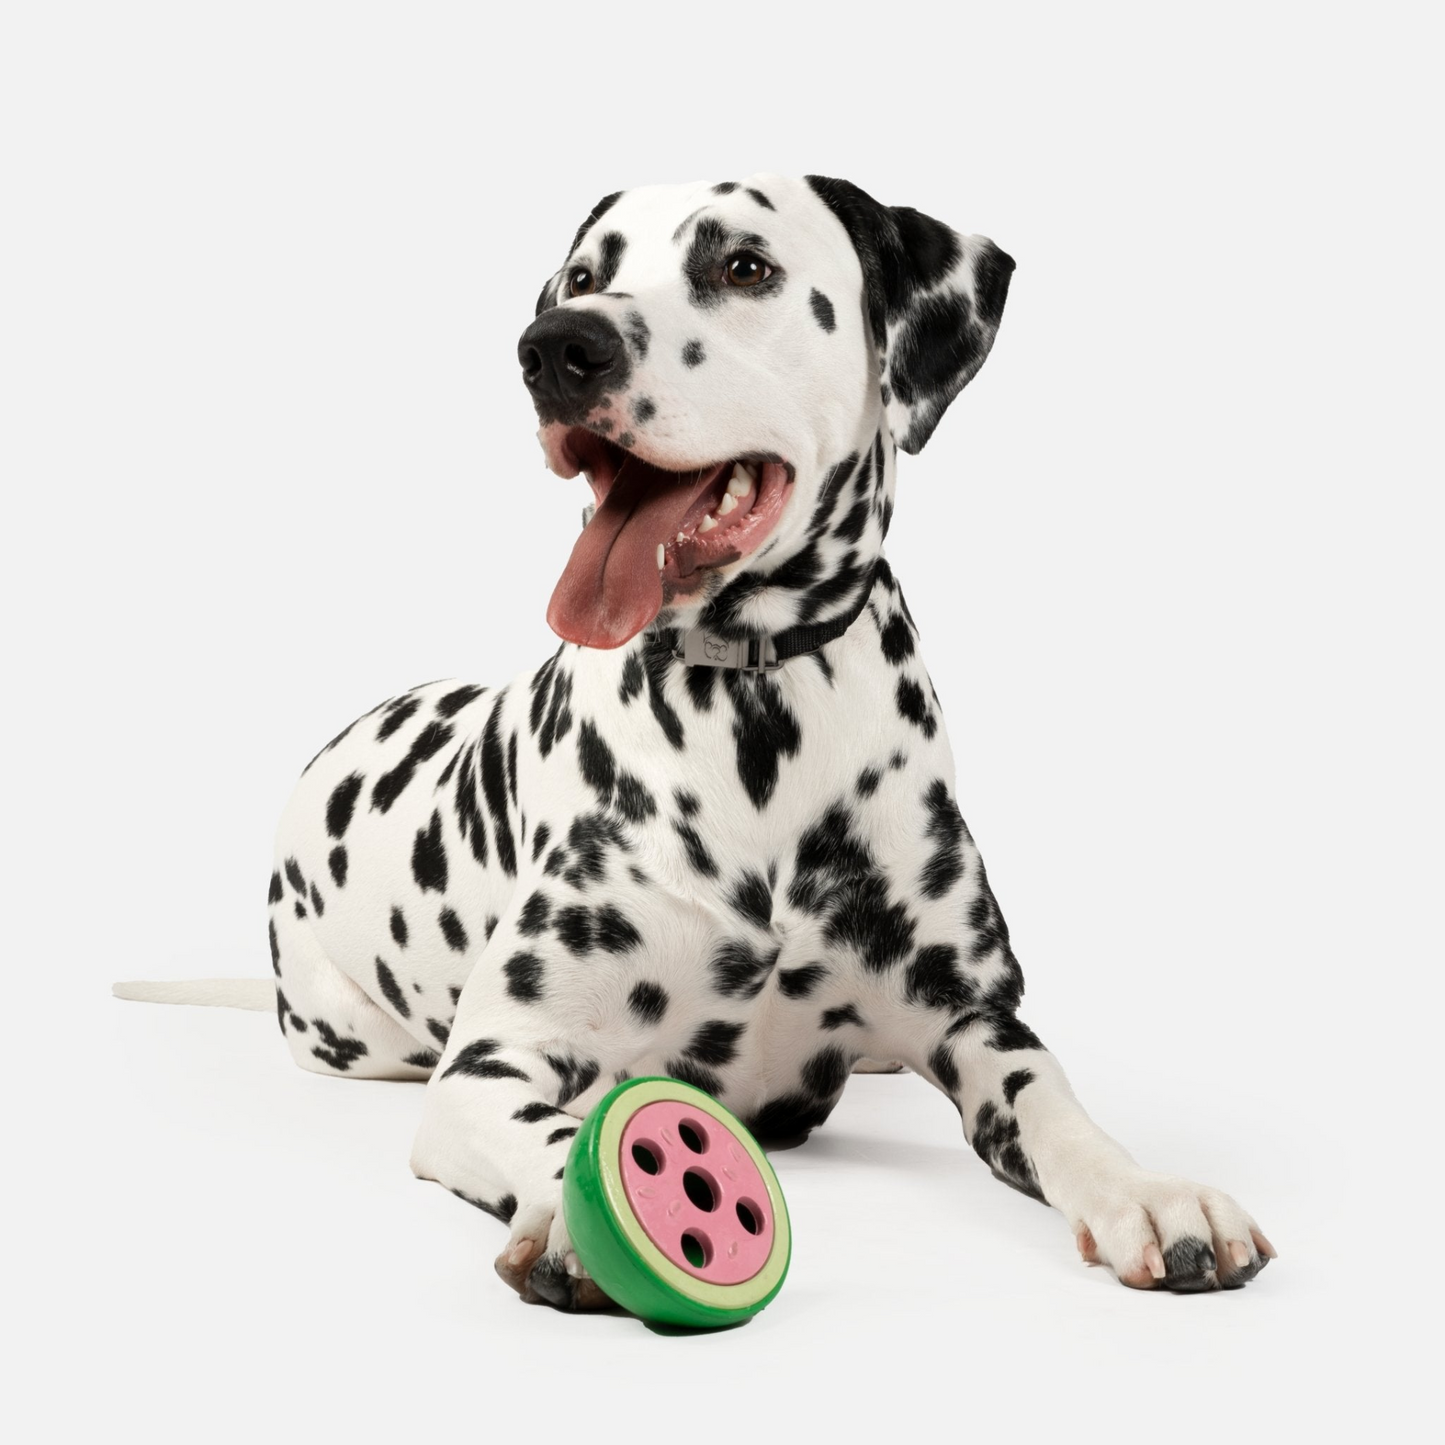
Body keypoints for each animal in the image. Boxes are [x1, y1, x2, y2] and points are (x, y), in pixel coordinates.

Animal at [135, 171, 1277, 1312]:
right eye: (583, 275)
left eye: (743, 265)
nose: (556, 347)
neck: (756, 714)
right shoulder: (493, 1062)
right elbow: (556, 1126)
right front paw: (580, 1215)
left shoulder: (978, 1021)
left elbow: (1054, 1104)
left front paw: (1148, 1190)